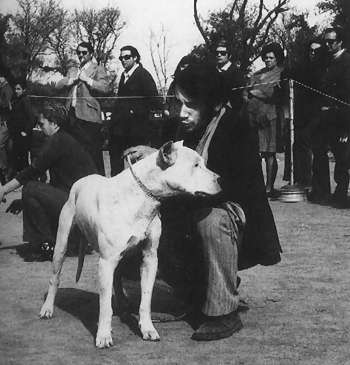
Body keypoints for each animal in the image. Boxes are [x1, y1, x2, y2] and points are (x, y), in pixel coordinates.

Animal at [39, 140, 221, 346]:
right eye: (196, 165)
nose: (219, 179)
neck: (142, 197)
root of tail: (82, 181)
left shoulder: (149, 258)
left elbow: (146, 299)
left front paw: (147, 328)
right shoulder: (106, 262)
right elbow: (104, 305)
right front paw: (103, 335)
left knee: (117, 279)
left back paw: (123, 305)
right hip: (61, 244)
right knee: (55, 277)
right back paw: (47, 308)